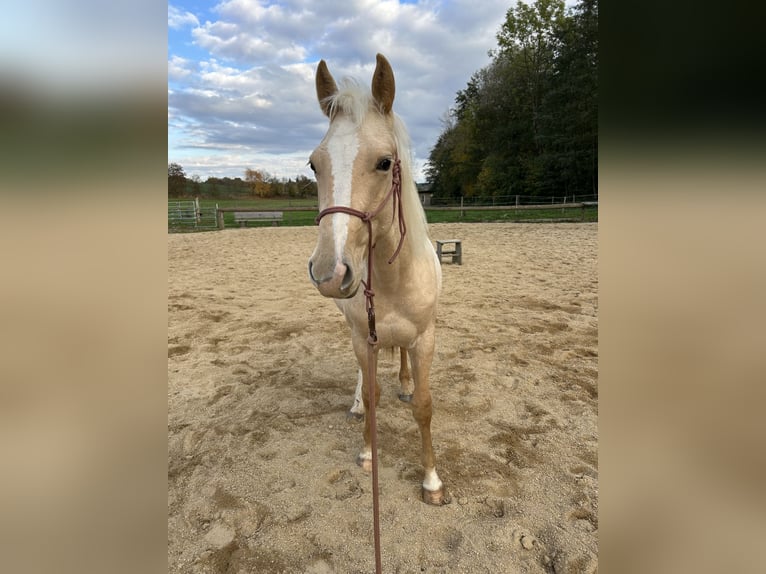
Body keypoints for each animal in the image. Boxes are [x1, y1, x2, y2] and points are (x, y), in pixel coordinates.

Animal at [307, 54, 447, 505]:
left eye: (385, 162)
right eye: (314, 164)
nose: (330, 272)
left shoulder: (424, 339)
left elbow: (423, 406)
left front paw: (432, 481)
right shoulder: (361, 337)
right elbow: (371, 396)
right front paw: (368, 453)